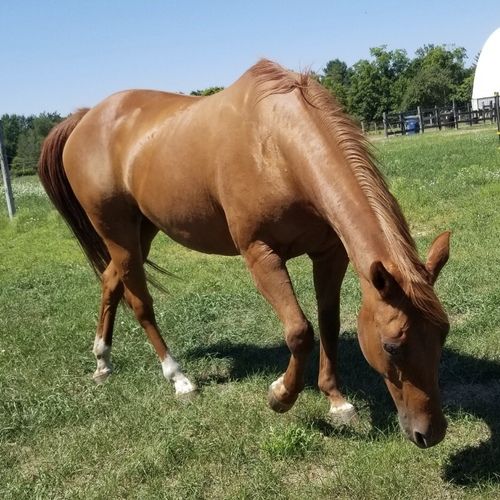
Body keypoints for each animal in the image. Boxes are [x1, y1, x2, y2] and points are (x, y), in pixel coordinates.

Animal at [39, 59, 452, 450]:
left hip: (142, 231)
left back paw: (102, 361)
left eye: (442, 334)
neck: (275, 146)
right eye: (391, 346)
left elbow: (329, 323)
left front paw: (337, 401)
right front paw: (281, 396)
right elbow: (300, 331)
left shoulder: (329, 253)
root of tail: (86, 118)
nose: (429, 434)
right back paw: (179, 378)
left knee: (111, 281)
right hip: (119, 233)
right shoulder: (260, 255)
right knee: (140, 303)